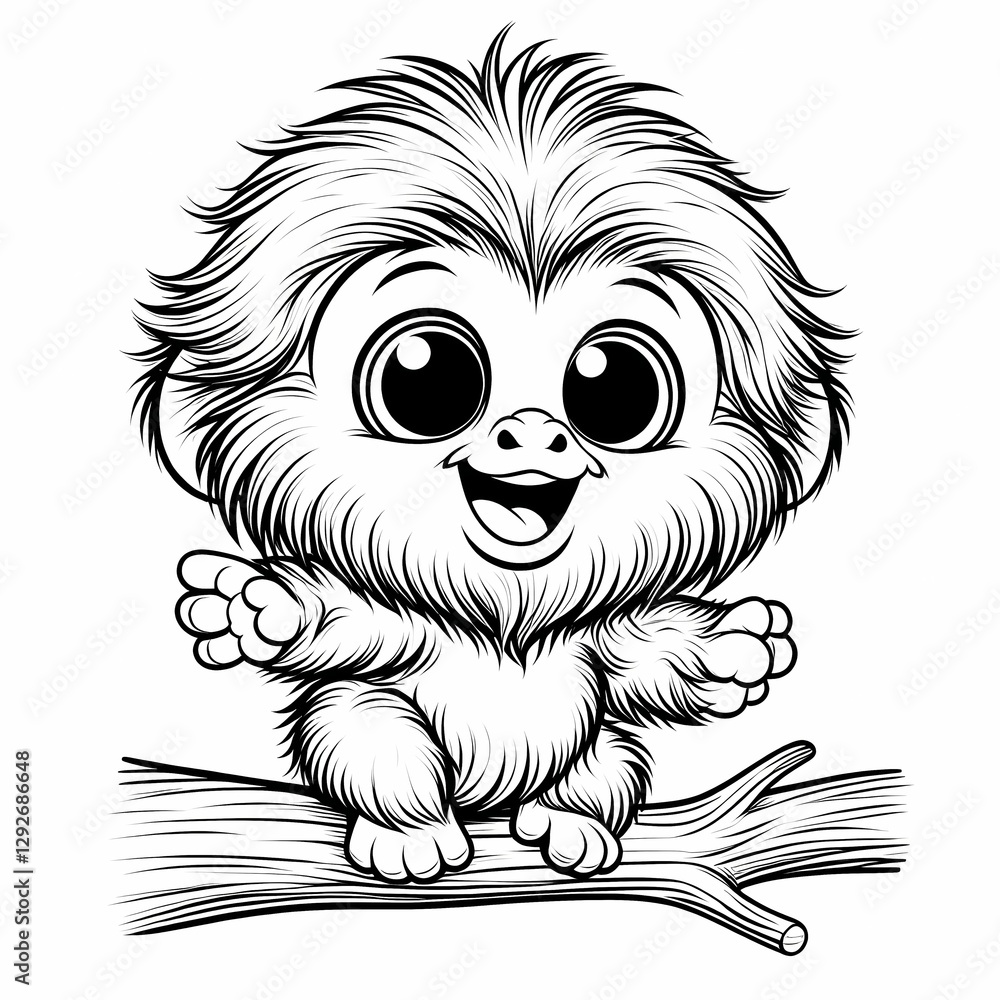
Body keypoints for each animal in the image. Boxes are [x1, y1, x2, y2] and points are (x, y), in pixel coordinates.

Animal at [133, 30, 851, 884]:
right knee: (378, 747)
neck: (504, 621)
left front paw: (736, 650)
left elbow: (646, 667)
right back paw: (411, 834)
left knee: (607, 768)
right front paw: (259, 607)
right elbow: (334, 634)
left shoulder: (599, 640)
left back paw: (568, 823)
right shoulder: (393, 630)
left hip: (596, 753)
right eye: (425, 376)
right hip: (364, 726)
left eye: (618, 387)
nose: (535, 430)